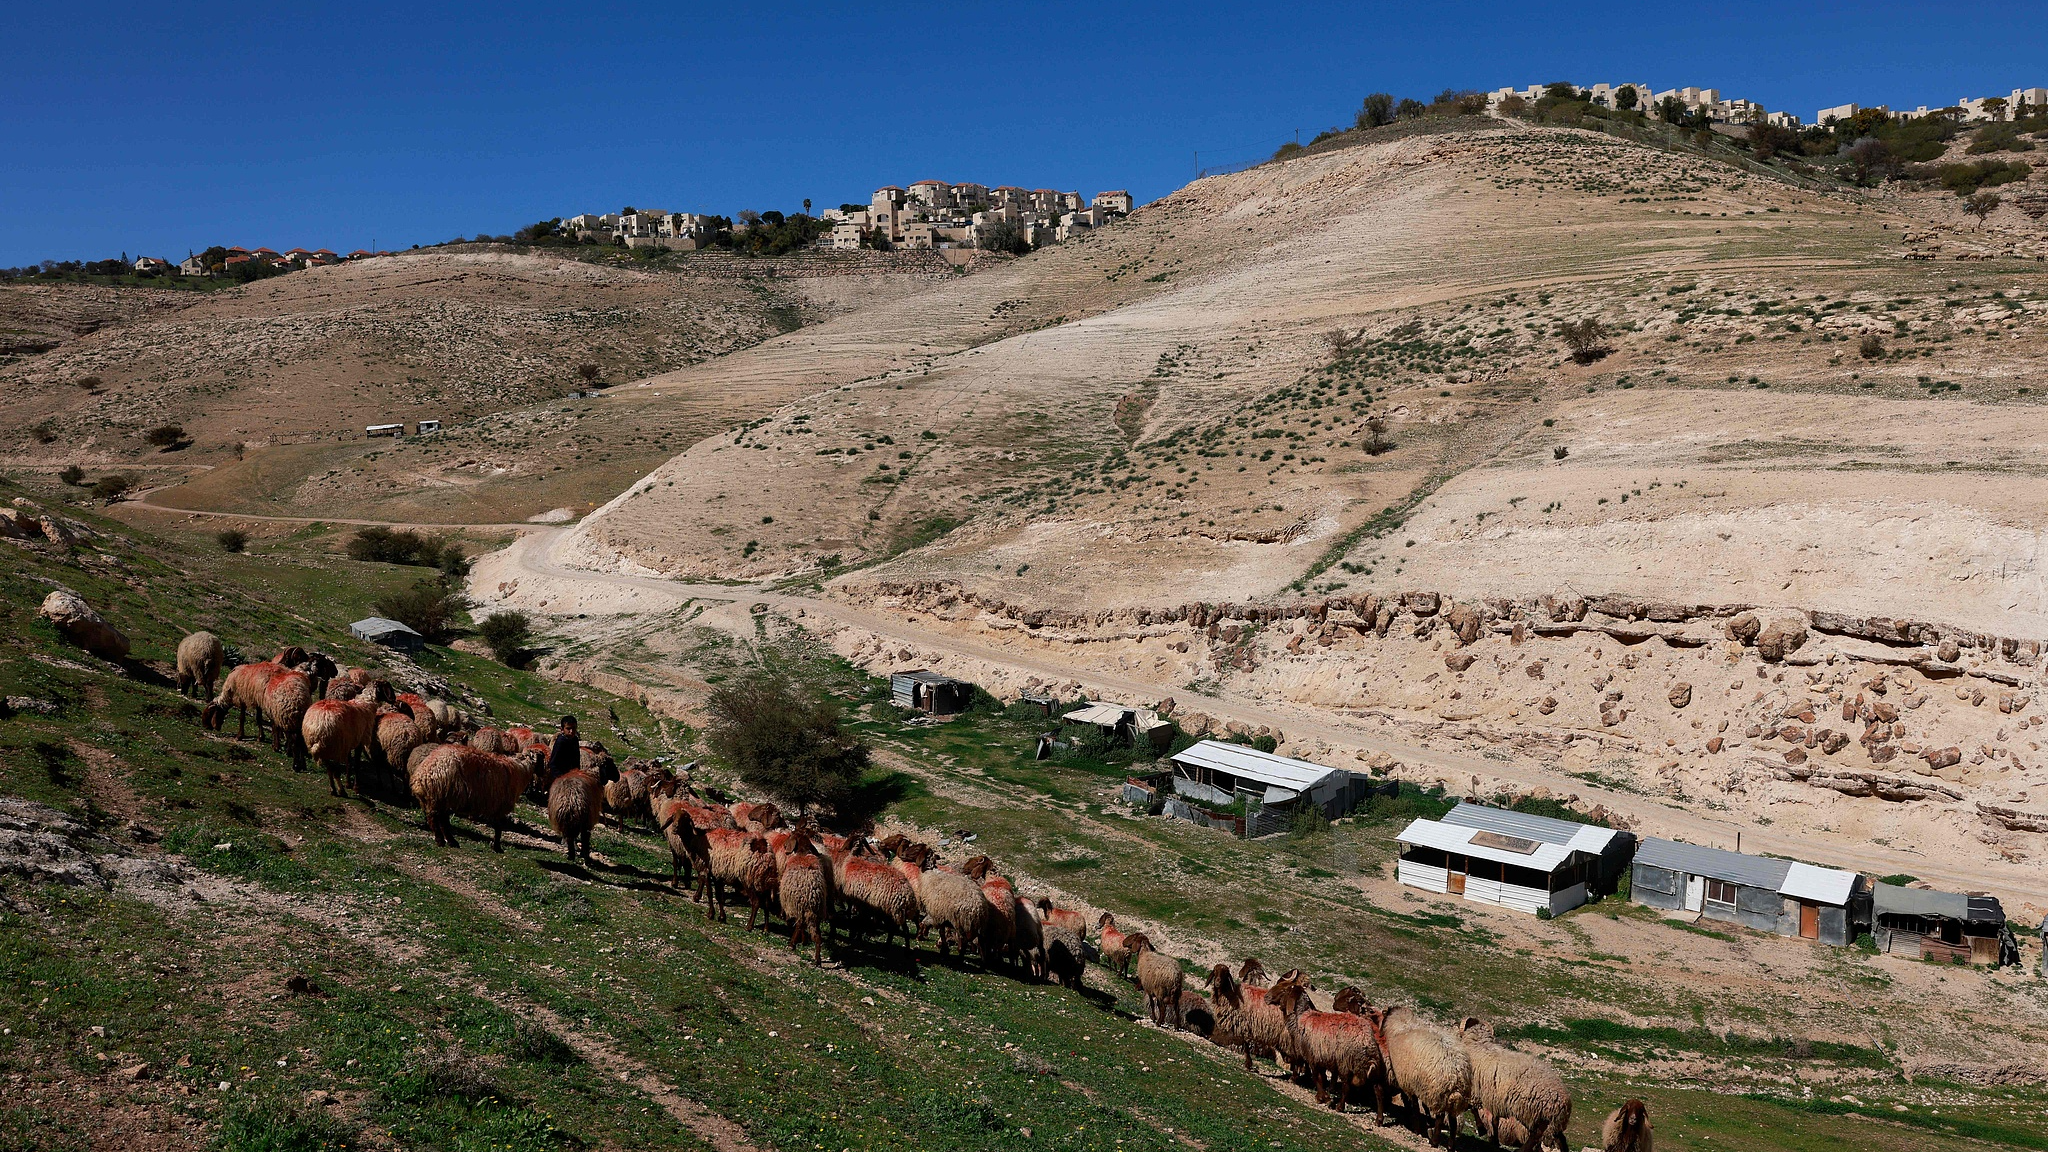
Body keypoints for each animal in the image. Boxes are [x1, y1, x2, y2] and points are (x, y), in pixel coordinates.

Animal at [774, 828, 831, 963]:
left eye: (791, 835)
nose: (785, 847)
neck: (803, 852)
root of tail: (812, 894)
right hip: (817, 911)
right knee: (817, 934)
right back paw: (817, 959)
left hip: (799, 905)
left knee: (800, 925)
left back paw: (792, 944)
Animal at [1376, 1000, 1474, 1139]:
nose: (1379, 1033)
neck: (1403, 1025)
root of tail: (1458, 1074)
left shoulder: (1408, 1082)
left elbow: (1414, 1105)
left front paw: (1416, 1127)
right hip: (1449, 1097)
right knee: (1453, 1120)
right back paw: (1449, 1143)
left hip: (1438, 1094)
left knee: (1440, 1117)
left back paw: (1434, 1140)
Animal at [1458, 1012, 1564, 1147]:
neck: (1479, 1045)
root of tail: (1566, 1102)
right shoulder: (1493, 1099)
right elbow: (1494, 1119)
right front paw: (1493, 1138)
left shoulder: (1475, 1091)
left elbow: (1475, 1110)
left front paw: (1482, 1129)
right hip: (1547, 1123)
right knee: (1559, 1139)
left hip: (1537, 1117)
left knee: (1536, 1137)